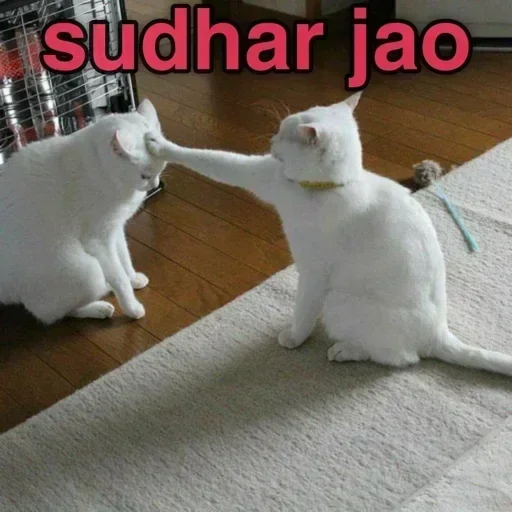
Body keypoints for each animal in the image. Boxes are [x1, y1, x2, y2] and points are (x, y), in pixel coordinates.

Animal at [0, 99, 166, 324]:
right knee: (51, 315)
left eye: (161, 169)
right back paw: (100, 307)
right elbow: (119, 277)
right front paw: (132, 308)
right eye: (144, 176)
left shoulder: (115, 229)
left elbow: (124, 258)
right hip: (87, 271)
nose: (155, 184)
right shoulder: (98, 241)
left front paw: (133, 279)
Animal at [145, 92, 512, 376]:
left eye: (283, 134)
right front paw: (157, 145)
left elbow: (303, 310)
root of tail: (440, 332)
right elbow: (215, 160)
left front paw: (294, 338)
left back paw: (344, 350)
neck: (325, 188)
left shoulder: (312, 272)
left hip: (338, 299)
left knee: (401, 359)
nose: (271, 142)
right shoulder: (267, 177)